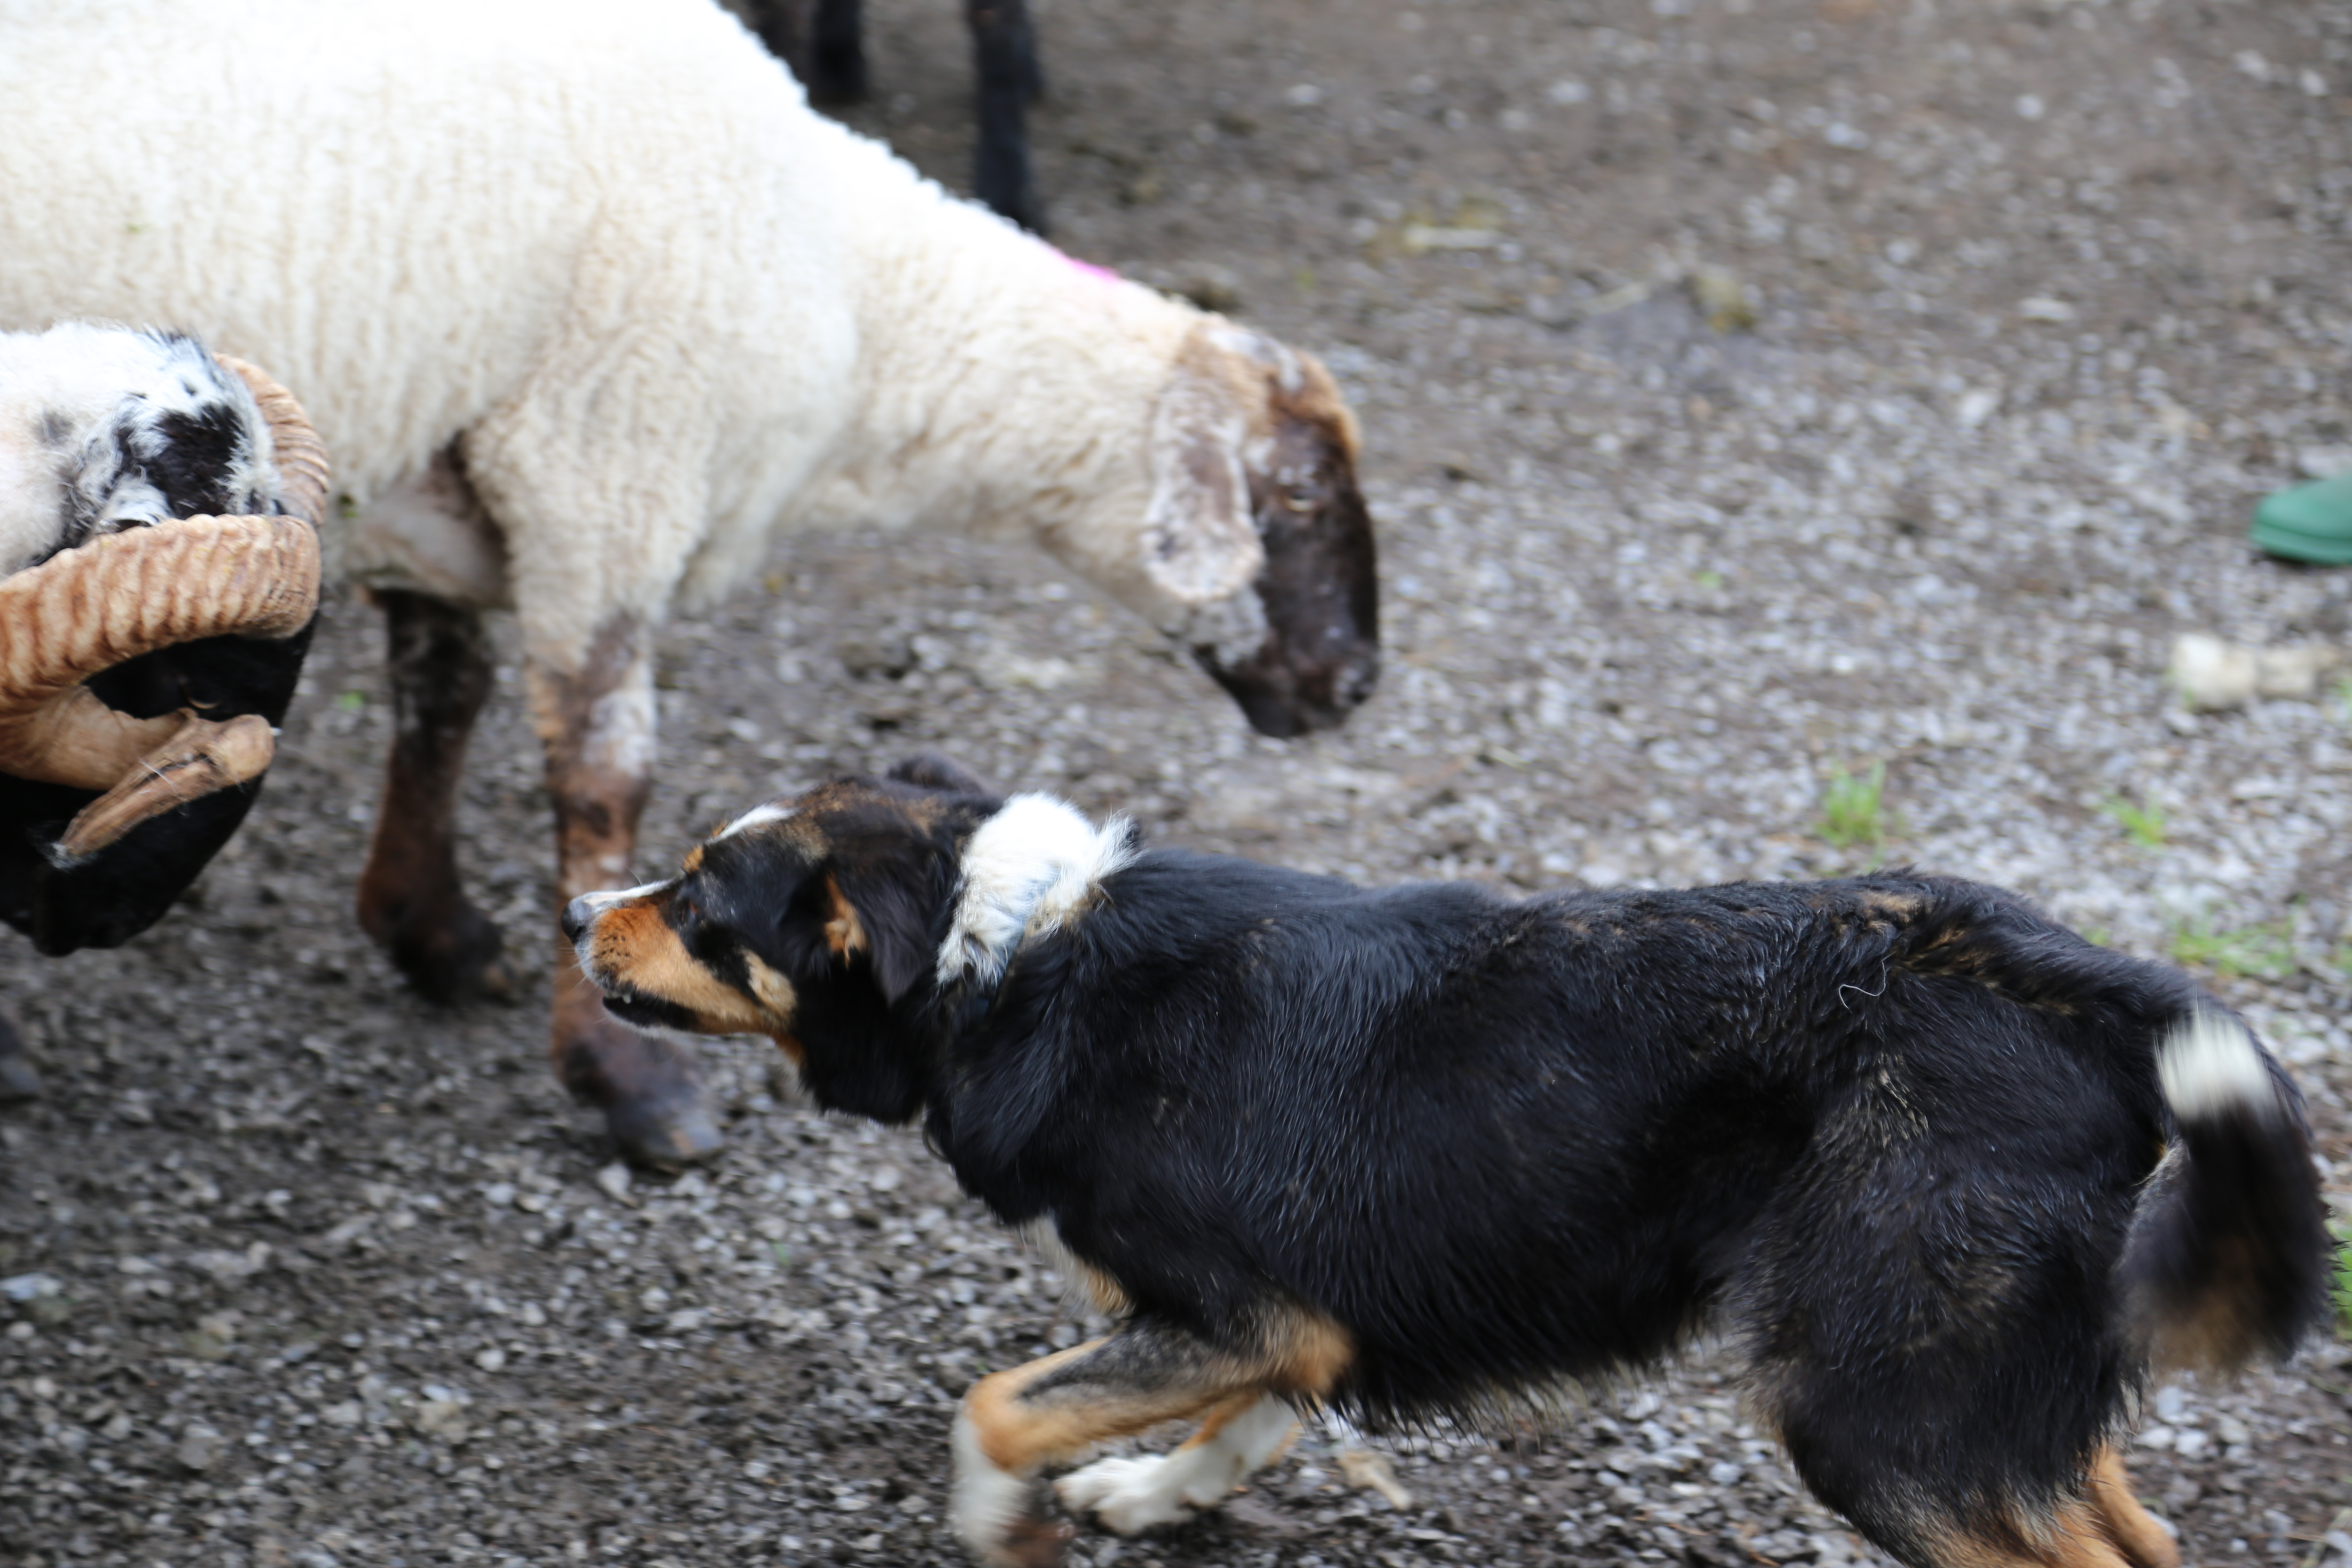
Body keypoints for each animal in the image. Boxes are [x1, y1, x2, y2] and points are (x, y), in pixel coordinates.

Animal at [0, 0, 1383, 1166]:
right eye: (1300, 498)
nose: (1356, 687)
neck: (862, 298)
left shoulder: (449, 478)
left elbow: (442, 700)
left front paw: (429, 932)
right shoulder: (602, 469)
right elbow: (604, 776)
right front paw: (628, 1082)